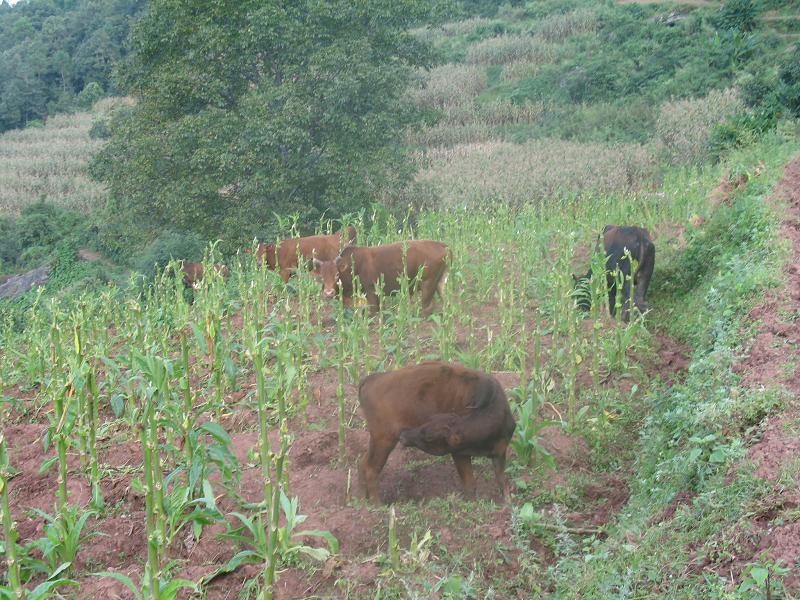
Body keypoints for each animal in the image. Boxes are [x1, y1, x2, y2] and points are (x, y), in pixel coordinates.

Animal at [312, 240, 450, 316]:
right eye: (322, 276)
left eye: (336, 274)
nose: (328, 292)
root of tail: (443, 245)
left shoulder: (371, 291)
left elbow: (374, 310)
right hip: (440, 282)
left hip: (428, 284)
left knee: (428, 306)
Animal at [358, 364, 520, 504]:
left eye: (429, 436)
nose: (404, 435)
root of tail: (372, 379)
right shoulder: (460, 454)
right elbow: (470, 484)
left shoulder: (499, 452)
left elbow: (502, 480)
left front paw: (507, 503)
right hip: (384, 440)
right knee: (371, 468)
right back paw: (377, 505)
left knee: (363, 463)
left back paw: (362, 500)